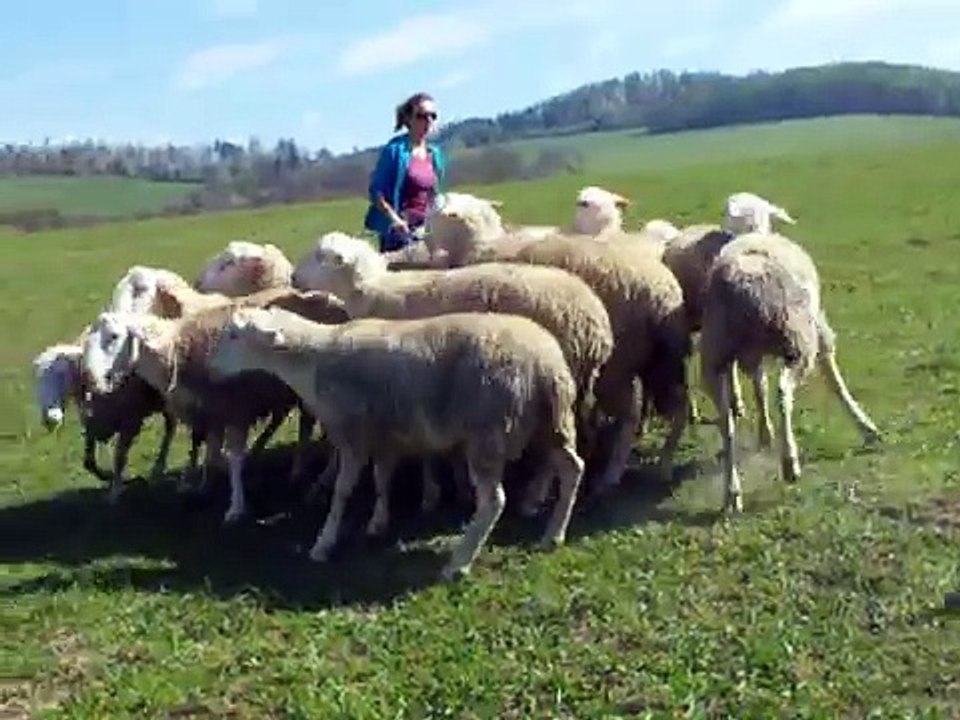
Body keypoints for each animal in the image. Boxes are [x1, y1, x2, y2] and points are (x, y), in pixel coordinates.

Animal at [80, 288, 350, 522]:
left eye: (114, 337)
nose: (89, 378)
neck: (179, 349)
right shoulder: (210, 413)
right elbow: (210, 453)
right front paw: (205, 486)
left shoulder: (235, 407)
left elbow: (233, 459)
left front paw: (235, 507)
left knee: (313, 430)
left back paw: (313, 474)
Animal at [206, 306, 586, 580]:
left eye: (234, 335)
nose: (210, 368)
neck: (312, 360)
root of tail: (546, 362)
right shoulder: (385, 434)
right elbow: (381, 478)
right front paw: (378, 522)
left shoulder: (353, 434)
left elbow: (343, 491)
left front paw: (323, 544)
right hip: (552, 423)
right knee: (573, 468)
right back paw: (553, 536)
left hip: (489, 430)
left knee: (494, 502)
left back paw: (458, 564)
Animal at [292, 230, 615, 518]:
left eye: (321, 257)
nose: (293, 278)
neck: (375, 291)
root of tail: (596, 320)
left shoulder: (409, 381)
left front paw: (430, 493)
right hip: (563, 387)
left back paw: (533, 498)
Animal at [699, 230, 880, 512]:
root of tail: (742, 283)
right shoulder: (818, 330)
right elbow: (834, 380)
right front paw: (866, 427)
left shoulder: (752, 357)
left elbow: (759, 387)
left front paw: (765, 433)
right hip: (797, 341)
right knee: (783, 392)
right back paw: (789, 463)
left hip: (714, 354)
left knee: (727, 422)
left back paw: (732, 492)